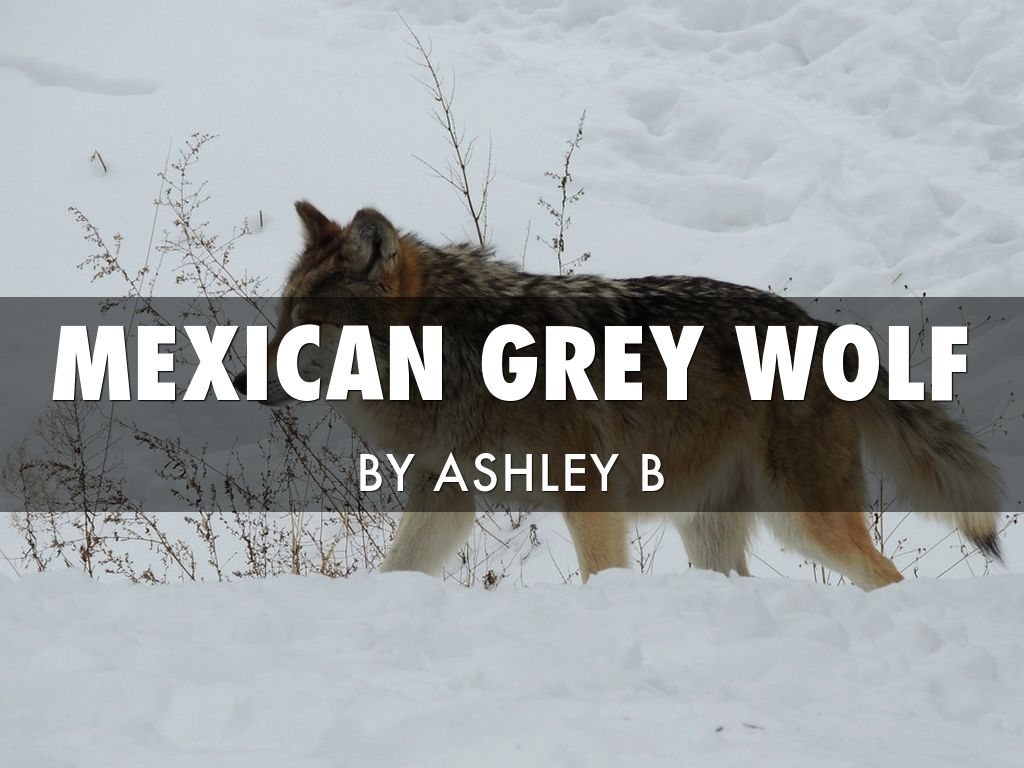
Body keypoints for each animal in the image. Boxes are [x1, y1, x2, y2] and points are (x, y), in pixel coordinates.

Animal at [232, 201, 1004, 590]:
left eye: (304, 321)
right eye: (281, 314)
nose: (236, 380)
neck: (458, 360)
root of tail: (827, 330)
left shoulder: (587, 492)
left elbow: (600, 572)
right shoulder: (446, 498)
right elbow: (397, 570)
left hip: (800, 519)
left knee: (886, 576)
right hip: (710, 529)